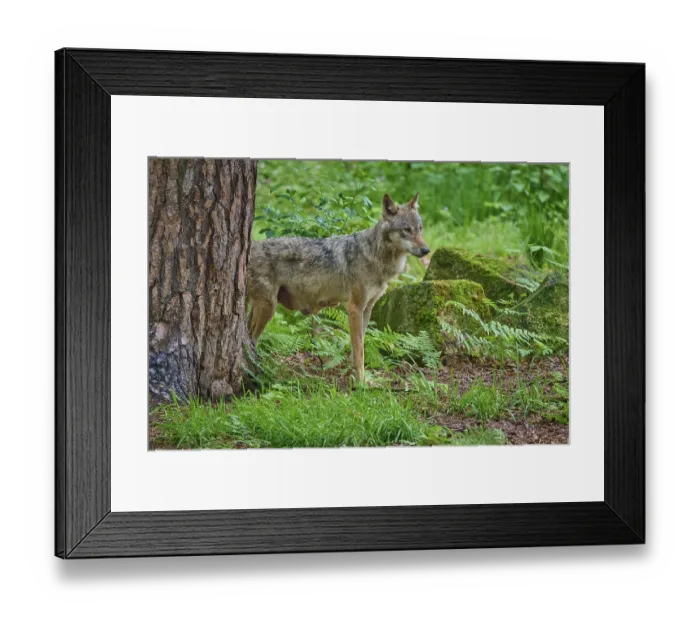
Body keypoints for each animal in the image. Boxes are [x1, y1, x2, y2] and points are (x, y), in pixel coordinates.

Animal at [247, 192, 430, 382]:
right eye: (407, 230)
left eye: (420, 228)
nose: (426, 250)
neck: (374, 255)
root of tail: (252, 246)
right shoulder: (354, 308)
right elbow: (359, 351)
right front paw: (361, 382)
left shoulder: (367, 309)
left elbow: (358, 347)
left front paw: (357, 377)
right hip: (268, 308)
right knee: (250, 338)